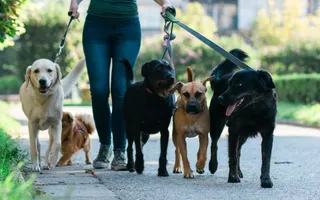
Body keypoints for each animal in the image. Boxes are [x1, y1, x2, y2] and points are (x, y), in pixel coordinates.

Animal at [209, 48, 276, 188]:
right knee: (214, 144)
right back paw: (213, 165)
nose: (221, 99)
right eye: (229, 84)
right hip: (217, 125)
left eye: (240, 84)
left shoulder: (268, 135)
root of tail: (219, 81)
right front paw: (232, 177)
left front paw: (266, 180)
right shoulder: (233, 131)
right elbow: (232, 156)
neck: (254, 109)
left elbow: (266, 160)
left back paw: (238, 171)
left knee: (238, 150)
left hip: (243, 135)